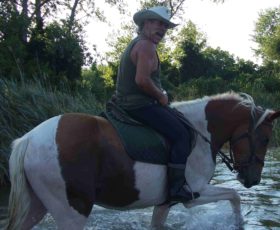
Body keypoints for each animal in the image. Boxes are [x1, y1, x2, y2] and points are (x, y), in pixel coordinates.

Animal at [4, 92, 280, 230]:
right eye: (266, 139)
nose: (253, 180)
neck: (200, 131)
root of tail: (28, 139)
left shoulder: (165, 203)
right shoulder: (196, 193)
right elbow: (235, 196)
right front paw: (239, 223)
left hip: (36, 206)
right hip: (72, 212)